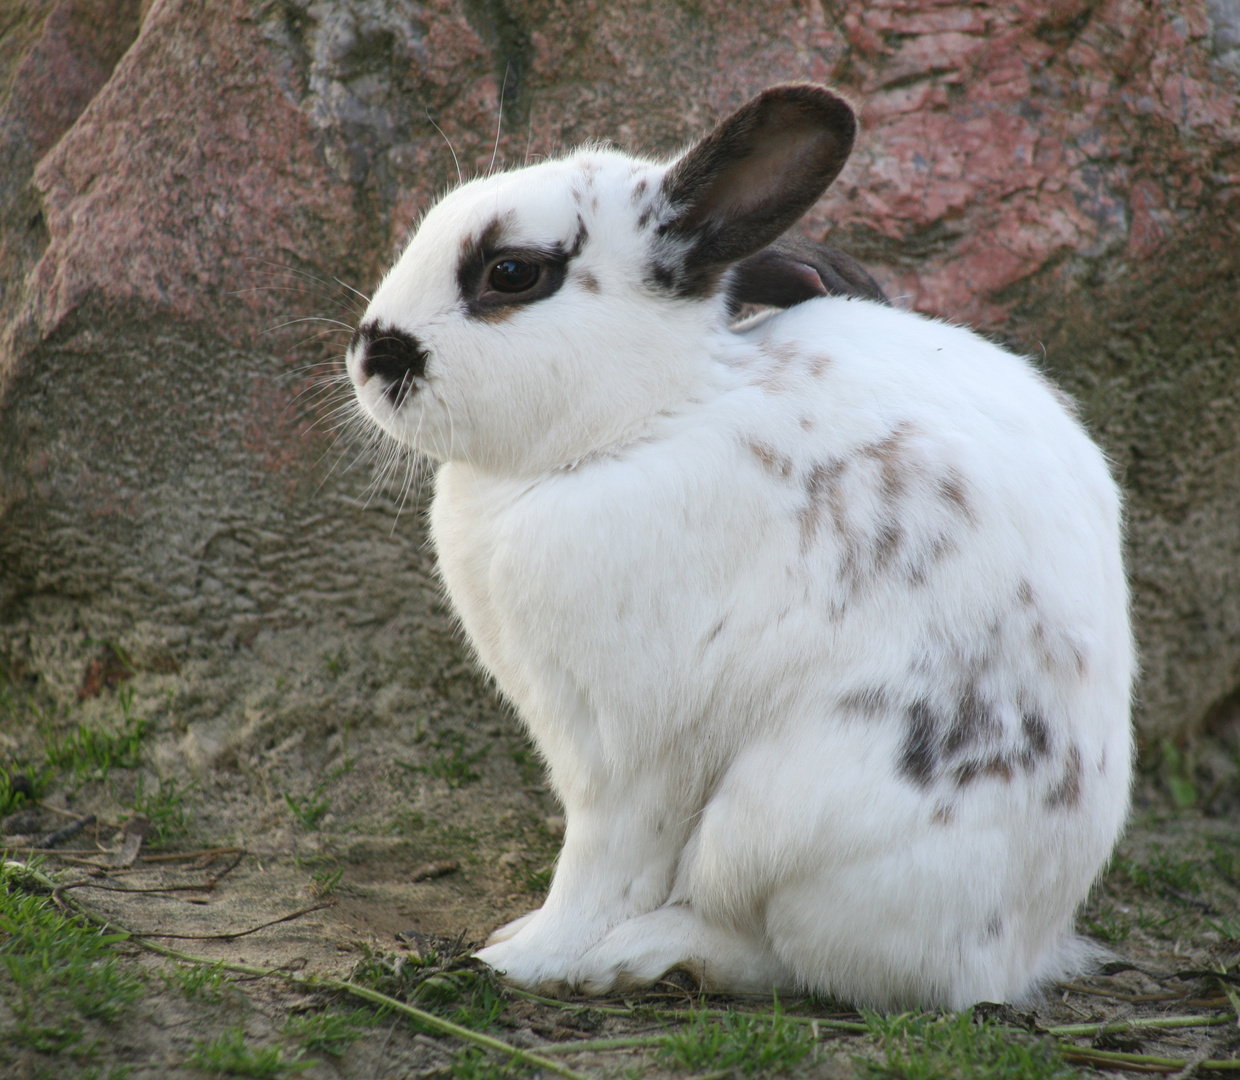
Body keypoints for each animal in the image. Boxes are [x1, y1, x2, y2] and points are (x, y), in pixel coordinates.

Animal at [342, 86, 1135, 1011]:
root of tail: (1021, 951)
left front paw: (522, 959)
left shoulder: (622, 750)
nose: (370, 355)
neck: (644, 418)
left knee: (796, 958)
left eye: (512, 273)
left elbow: (599, 866)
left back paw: (640, 953)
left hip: (779, 833)